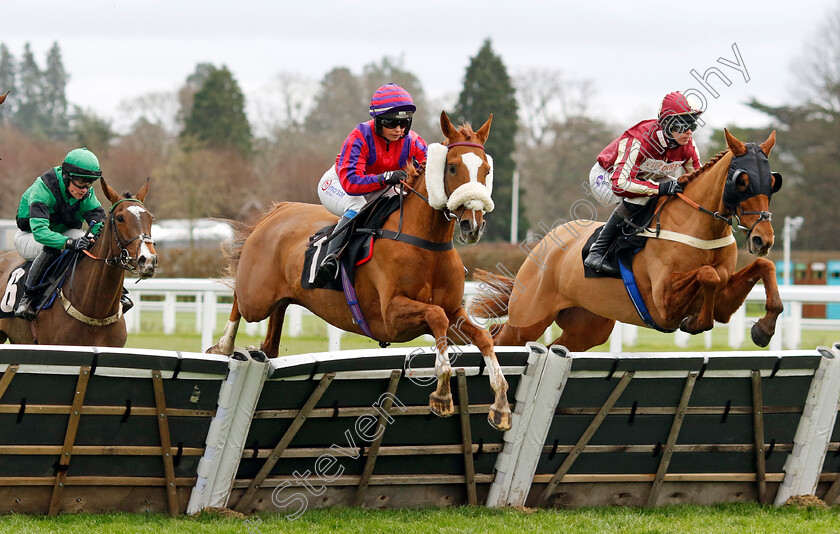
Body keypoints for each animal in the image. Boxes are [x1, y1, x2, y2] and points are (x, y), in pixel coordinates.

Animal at [210, 111, 512, 434]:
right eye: (453, 167)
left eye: (486, 169)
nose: (472, 225)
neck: (426, 242)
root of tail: (277, 212)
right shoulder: (391, 315)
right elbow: (436, 316)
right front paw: (442, 394)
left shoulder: (455, 311)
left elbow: (482, 336)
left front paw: (501, 405)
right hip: (257, 297)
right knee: (239, 299)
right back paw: (222, 346)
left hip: (282, 296)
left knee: (272, 332)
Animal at [476, 130, 784, 354]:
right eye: (742, 181)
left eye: (772, 182)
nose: (763, 239)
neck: (700, 228)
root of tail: (543, 246)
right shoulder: (663, 303)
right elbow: (708, 274)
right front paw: (696, 322)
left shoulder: (723, 303)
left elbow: (763, 266)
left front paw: (763, 329)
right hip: (528, 319)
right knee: (499, 337)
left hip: (587, 328)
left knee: (555, 348)